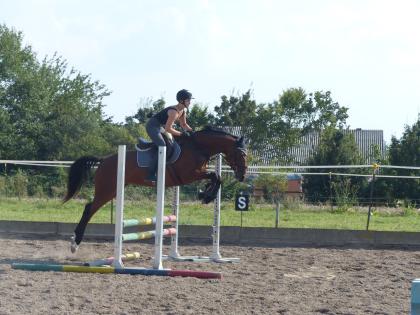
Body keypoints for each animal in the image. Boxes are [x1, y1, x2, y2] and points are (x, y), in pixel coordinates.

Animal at [62, 127, 246, 253]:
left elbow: (217, 177)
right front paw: (206, 195)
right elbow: (216, 176)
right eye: (242, 154)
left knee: (90, 208)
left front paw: (205, 193)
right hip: (107, 190)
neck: (197, 147)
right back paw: (74, 243)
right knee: (89, 209)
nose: (242, 175)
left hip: (114, 190)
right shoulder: (189, 175)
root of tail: (104, 160)